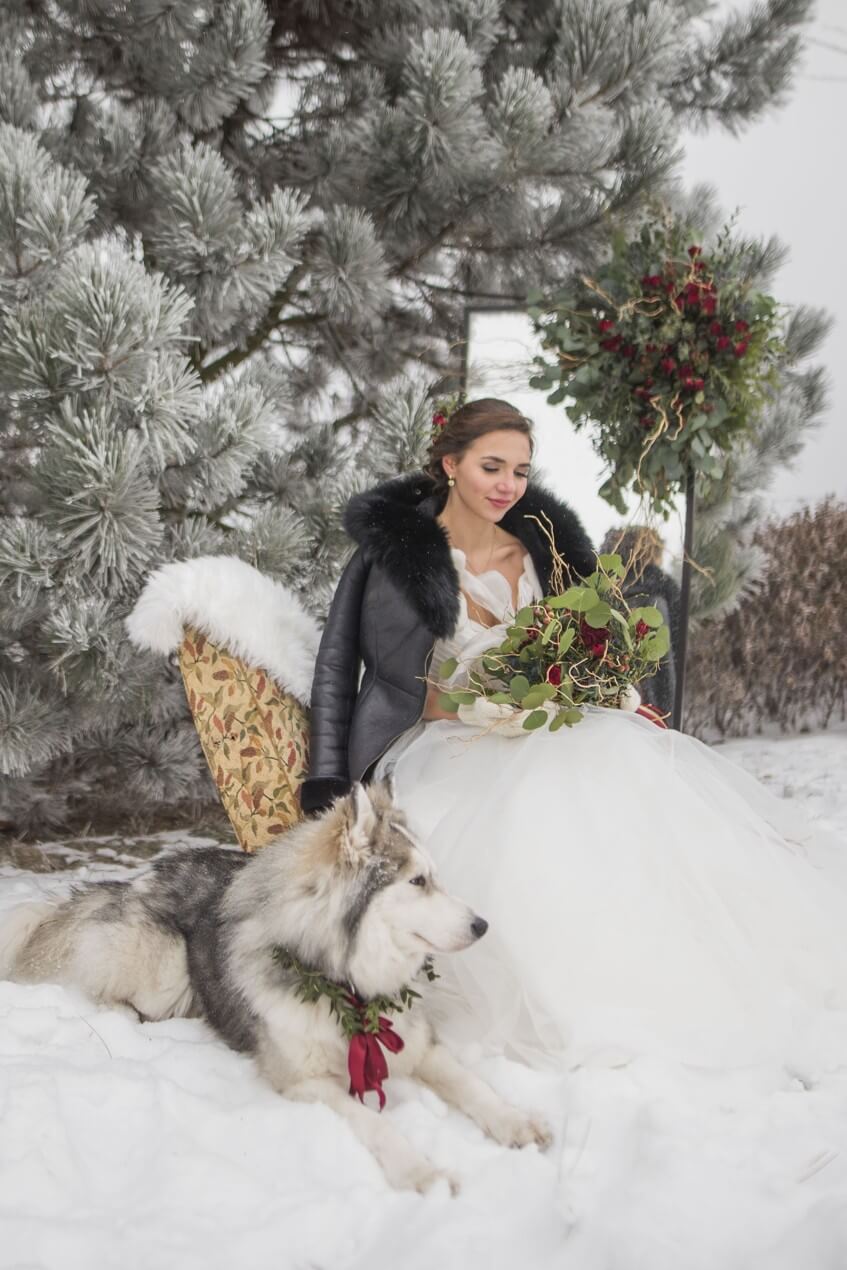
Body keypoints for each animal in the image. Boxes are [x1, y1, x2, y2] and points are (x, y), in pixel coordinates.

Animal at [0, 782, 553, 1188]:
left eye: (435, 877)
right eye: (417, 882)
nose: (483, 925)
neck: (346, 985)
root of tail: (138, 878)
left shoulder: (417, 1044)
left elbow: (474, 1086)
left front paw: (517, 1123)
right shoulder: (303, 1082)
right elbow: (375, 1122)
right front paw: (421, 1173)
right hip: (163, 969)